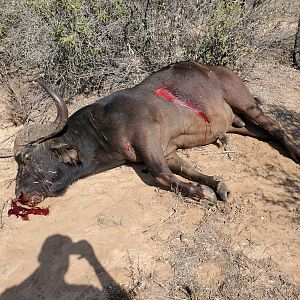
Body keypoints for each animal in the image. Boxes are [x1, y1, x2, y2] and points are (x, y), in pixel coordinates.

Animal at [14, 61, 300, 206]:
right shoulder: (168, 151)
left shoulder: (147, 140)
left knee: (276, 127)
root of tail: (216, 69)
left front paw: (202, 193)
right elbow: (187, 170)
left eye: (26, 160)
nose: (20, 195)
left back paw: (295, 152)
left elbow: (162, 175)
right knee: (266, 133)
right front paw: (215, 185)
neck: (100, 129)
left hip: (246, 103)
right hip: (239, 125)